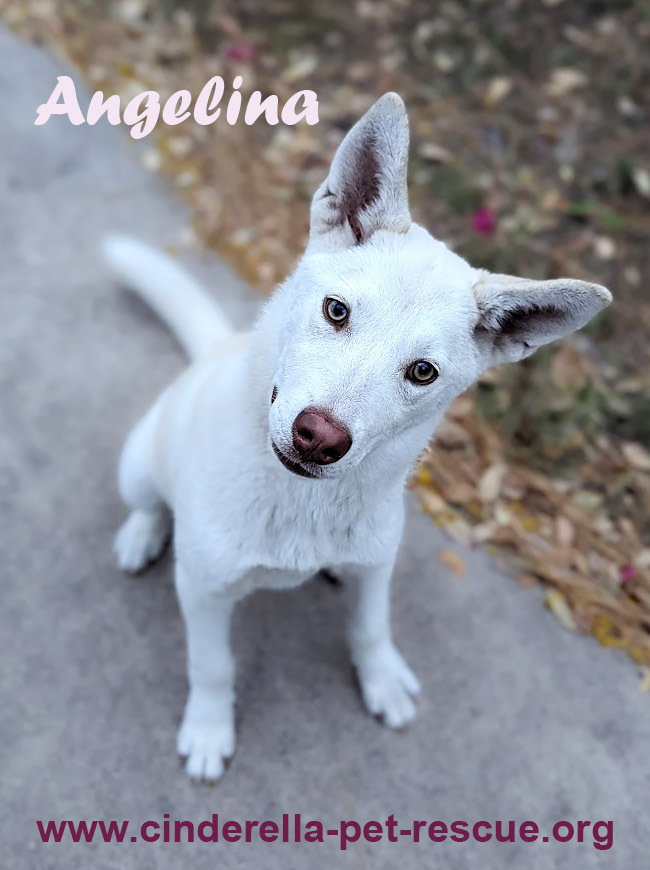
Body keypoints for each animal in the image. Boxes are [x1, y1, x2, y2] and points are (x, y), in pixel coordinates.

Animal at [104, 93, 612, 784]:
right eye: (336, 310)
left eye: (422, 372)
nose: (319, 438)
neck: (302, 505)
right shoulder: (204, 592)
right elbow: (212, 666)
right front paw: (209, 728)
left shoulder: (378, 567)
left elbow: (371, 627)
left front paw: (382, 678)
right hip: (137, 463)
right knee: (149, 501)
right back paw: (143, 533)